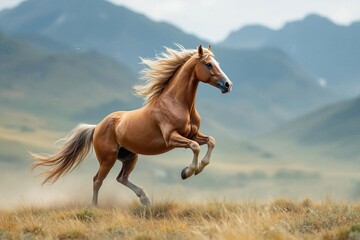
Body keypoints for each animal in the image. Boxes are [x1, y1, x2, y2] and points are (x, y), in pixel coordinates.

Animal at [31, 44, 233, 205]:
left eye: (218, 63)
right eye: (209, 64)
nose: (227, 84)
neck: (177, 103)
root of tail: (97, 127)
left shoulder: (193, 134)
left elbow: (210, 141)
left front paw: (199, 168)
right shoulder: (172, 138)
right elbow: (195, 147)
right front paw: (188, 172)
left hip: (130, 156)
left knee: (121, 178)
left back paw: (145, 199)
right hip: (108, 158)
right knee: (97, 180)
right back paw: (94, 207)